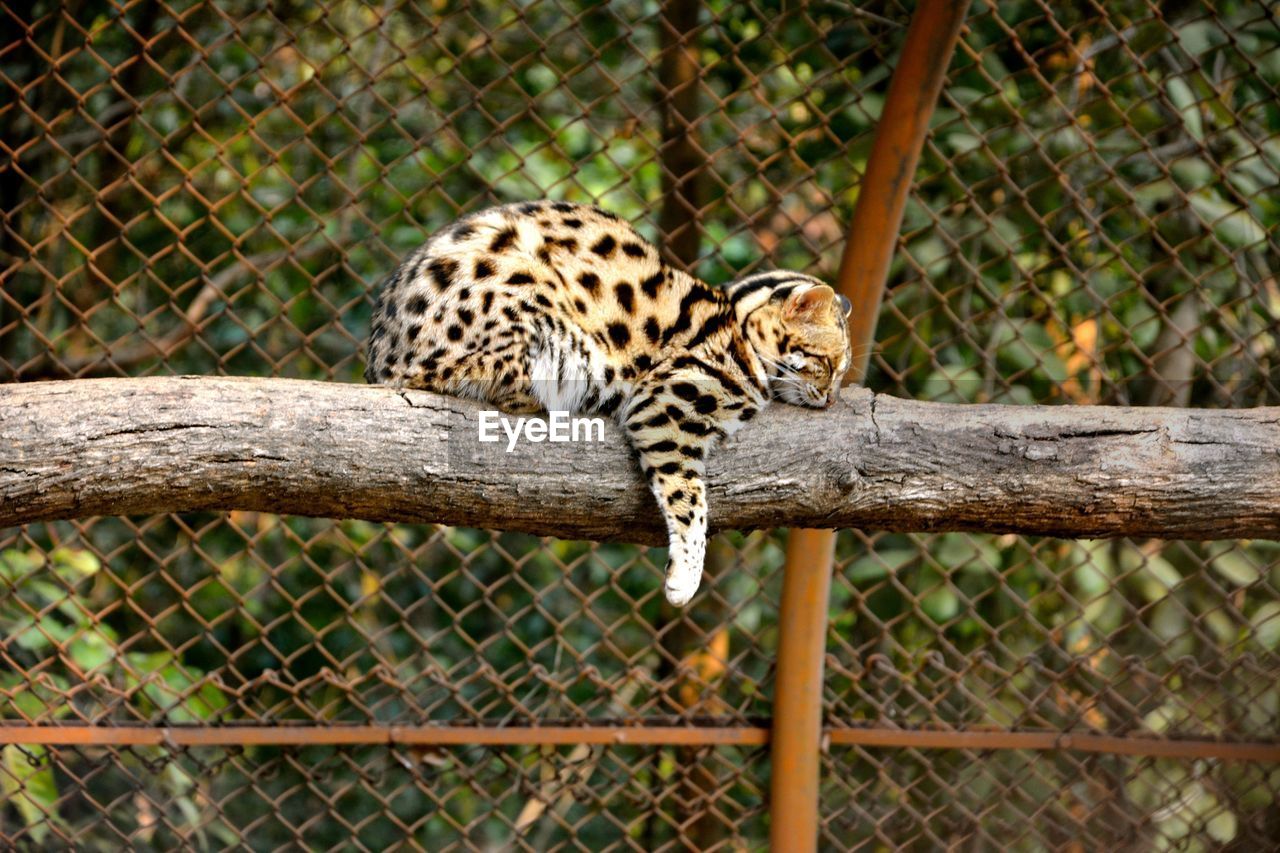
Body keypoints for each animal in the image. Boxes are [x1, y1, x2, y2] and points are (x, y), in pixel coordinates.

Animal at [366, 201, 855, 604]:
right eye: (827, 364)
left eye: (842, 370)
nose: (831, 399)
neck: (736, 321)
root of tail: (379, 361)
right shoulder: (666, 407)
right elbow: (690, 503)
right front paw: (685, 576)